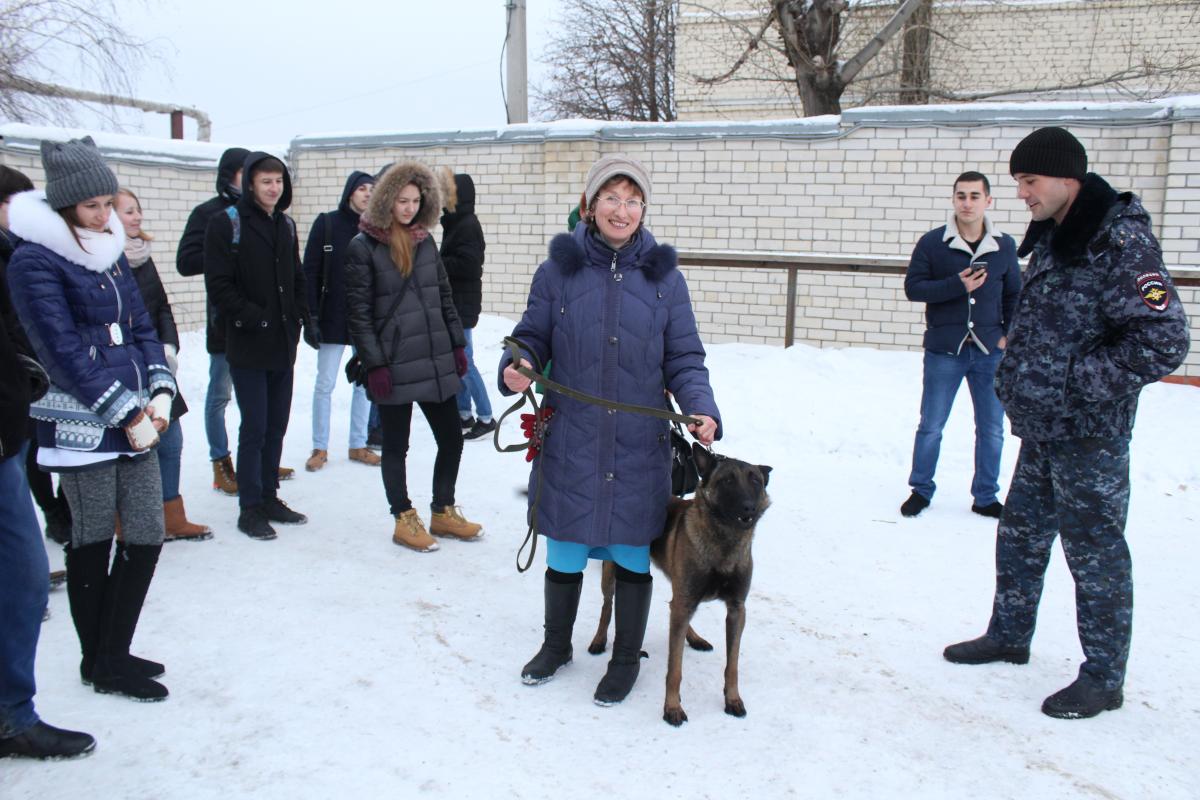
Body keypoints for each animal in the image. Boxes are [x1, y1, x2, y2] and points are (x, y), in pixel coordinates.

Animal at [588, 443, 772, 724]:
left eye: (755, 481)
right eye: (727, 480)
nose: (748, 508)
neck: (723, 544)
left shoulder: (736, 610)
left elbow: (732, 665)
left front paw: (732, 699)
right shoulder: (686, 601)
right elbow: (675, 668)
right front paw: (672, 707)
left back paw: (694, 638)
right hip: (613, 573)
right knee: (608, 606)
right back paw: (599, 639)